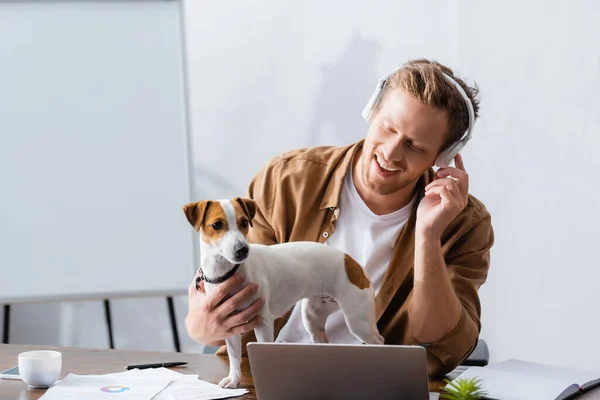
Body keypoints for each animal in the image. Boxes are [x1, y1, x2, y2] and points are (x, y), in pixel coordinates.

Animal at [180, 198, 384, 390]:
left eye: (244, 222)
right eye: (217, 225)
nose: (242, 250)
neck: (229, 272)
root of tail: (353, 263)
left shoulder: (263, 322)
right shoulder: (229, 327)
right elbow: (234, 355)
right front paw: (234, 379)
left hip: (359, 323)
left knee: (379, 341)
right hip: (313, 318)